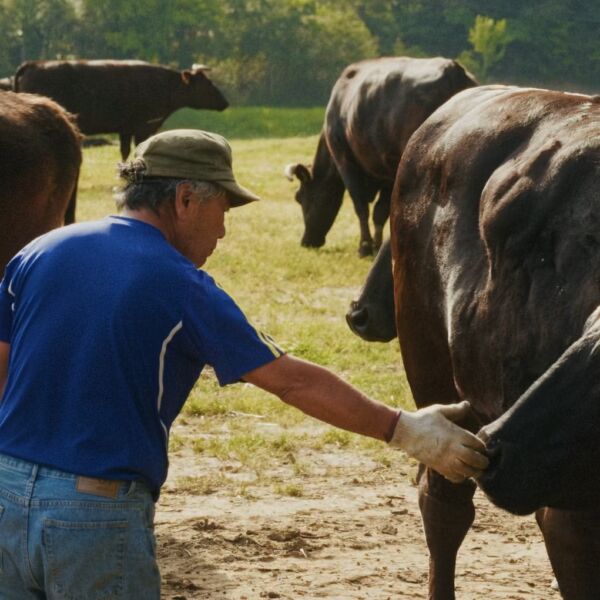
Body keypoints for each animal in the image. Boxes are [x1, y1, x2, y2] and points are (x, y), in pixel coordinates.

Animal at [14, 60, 228, 161]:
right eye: (208, 84)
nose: (225, 102)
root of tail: (33, 64)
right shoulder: (143, 127)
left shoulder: (125, 128)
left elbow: (124, 151)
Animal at [285, 56, 477, 257]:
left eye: (299, 197)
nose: (306, 241)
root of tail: (452, 69)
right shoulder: (387, 173)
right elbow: (380, 211)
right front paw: (376, 245)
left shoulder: (346, 163)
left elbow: (361, 206)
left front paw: (365, 246)